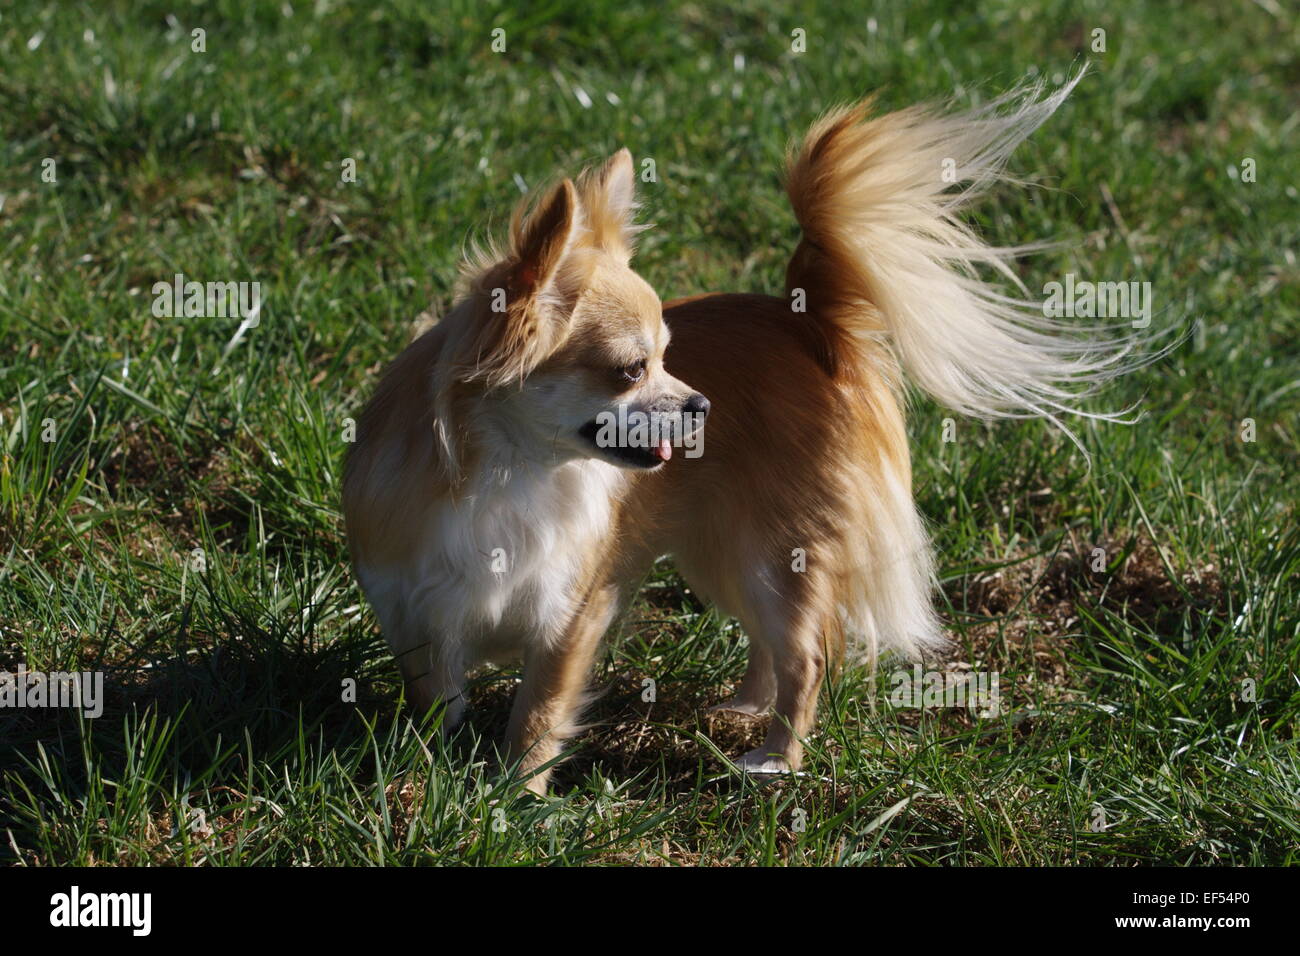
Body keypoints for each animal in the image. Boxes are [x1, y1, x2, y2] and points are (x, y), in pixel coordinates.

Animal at [343, 70, 1138, 796]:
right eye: (632, 371)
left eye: (669, 356)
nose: (702, 404)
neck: (518, 471)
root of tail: (813, 325)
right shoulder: (414, 611)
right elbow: (436, 695)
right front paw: (433, 767)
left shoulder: (570, 612)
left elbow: (539, 711)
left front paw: (516, 800)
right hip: (721, 547)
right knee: (772, 640)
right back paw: (744, 707)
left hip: (774, 548)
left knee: (807, 655)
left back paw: (776, 759)